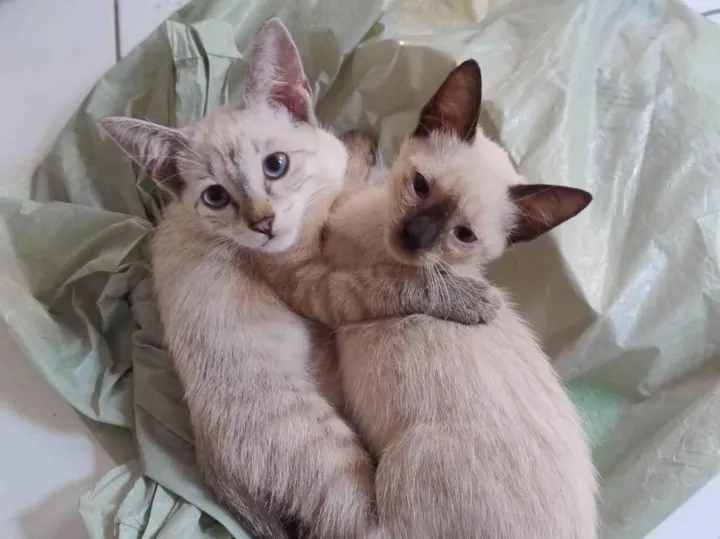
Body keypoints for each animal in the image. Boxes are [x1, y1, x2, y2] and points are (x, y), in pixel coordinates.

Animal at [101, 19, 499, 539]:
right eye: (215, 197)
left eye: (276, 165)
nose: (263, 223)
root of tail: (213, 472)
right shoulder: (317, 286)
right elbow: (392, 282)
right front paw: (467, 298)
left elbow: (347, 158)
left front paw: (357, 139)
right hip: (330, 449)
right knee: (362, 525)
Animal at [271, 60, 599, 539]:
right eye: (420, 185)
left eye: (463, 235)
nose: (414, 236)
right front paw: (364, 138)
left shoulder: (333, 228)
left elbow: (347, 169)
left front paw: (356, 140)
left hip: (400, 471)